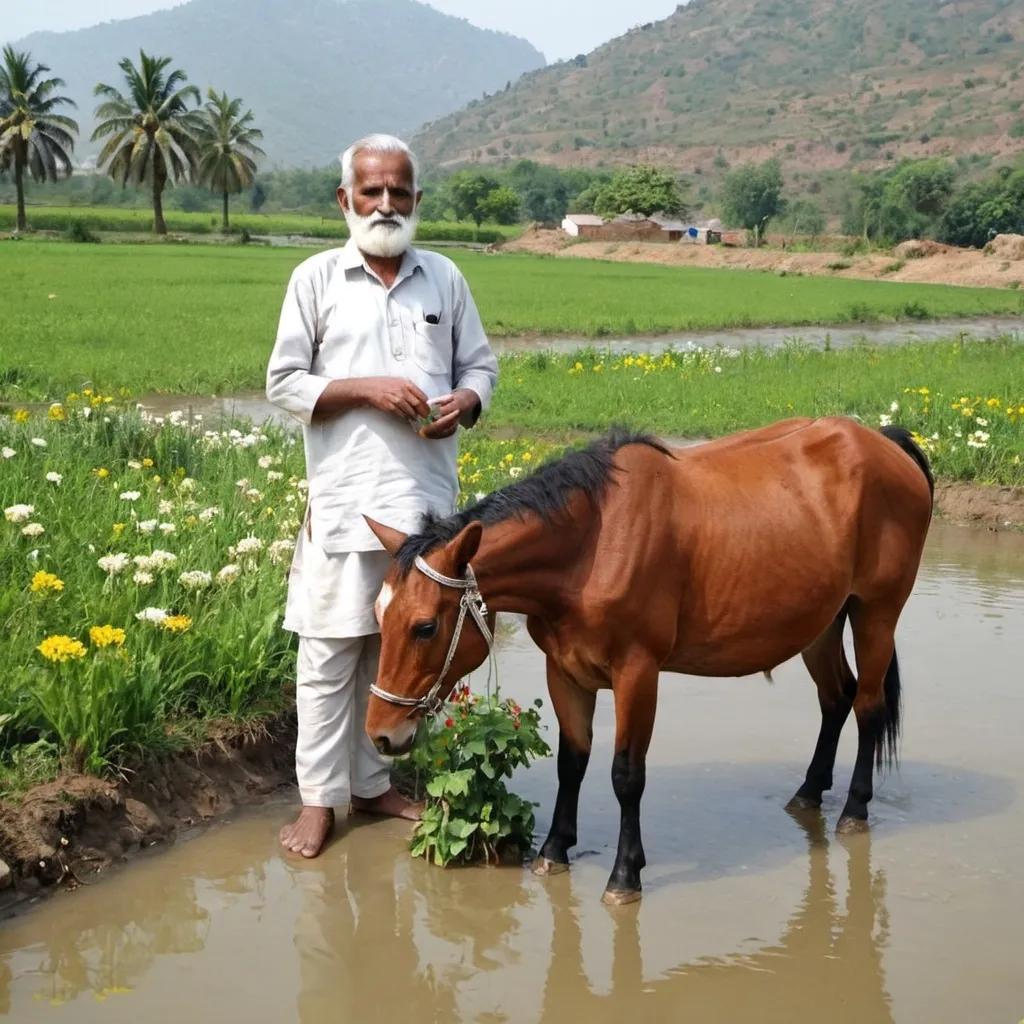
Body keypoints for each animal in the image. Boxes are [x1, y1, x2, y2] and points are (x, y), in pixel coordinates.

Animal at [364, 415, 933, 905]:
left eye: (425, 627)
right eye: (379, 614)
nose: (382, 734)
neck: (591, 543)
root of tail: (884, 444)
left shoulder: (637, 673)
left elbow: (626, 775)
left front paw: (624, 874)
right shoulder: (564, 672)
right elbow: (572, 763)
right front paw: (554, 849)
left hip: (876, 613)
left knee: (867, 705)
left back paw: (855, 808)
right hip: (820, 622)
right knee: (835, 700)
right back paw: (810, 792)